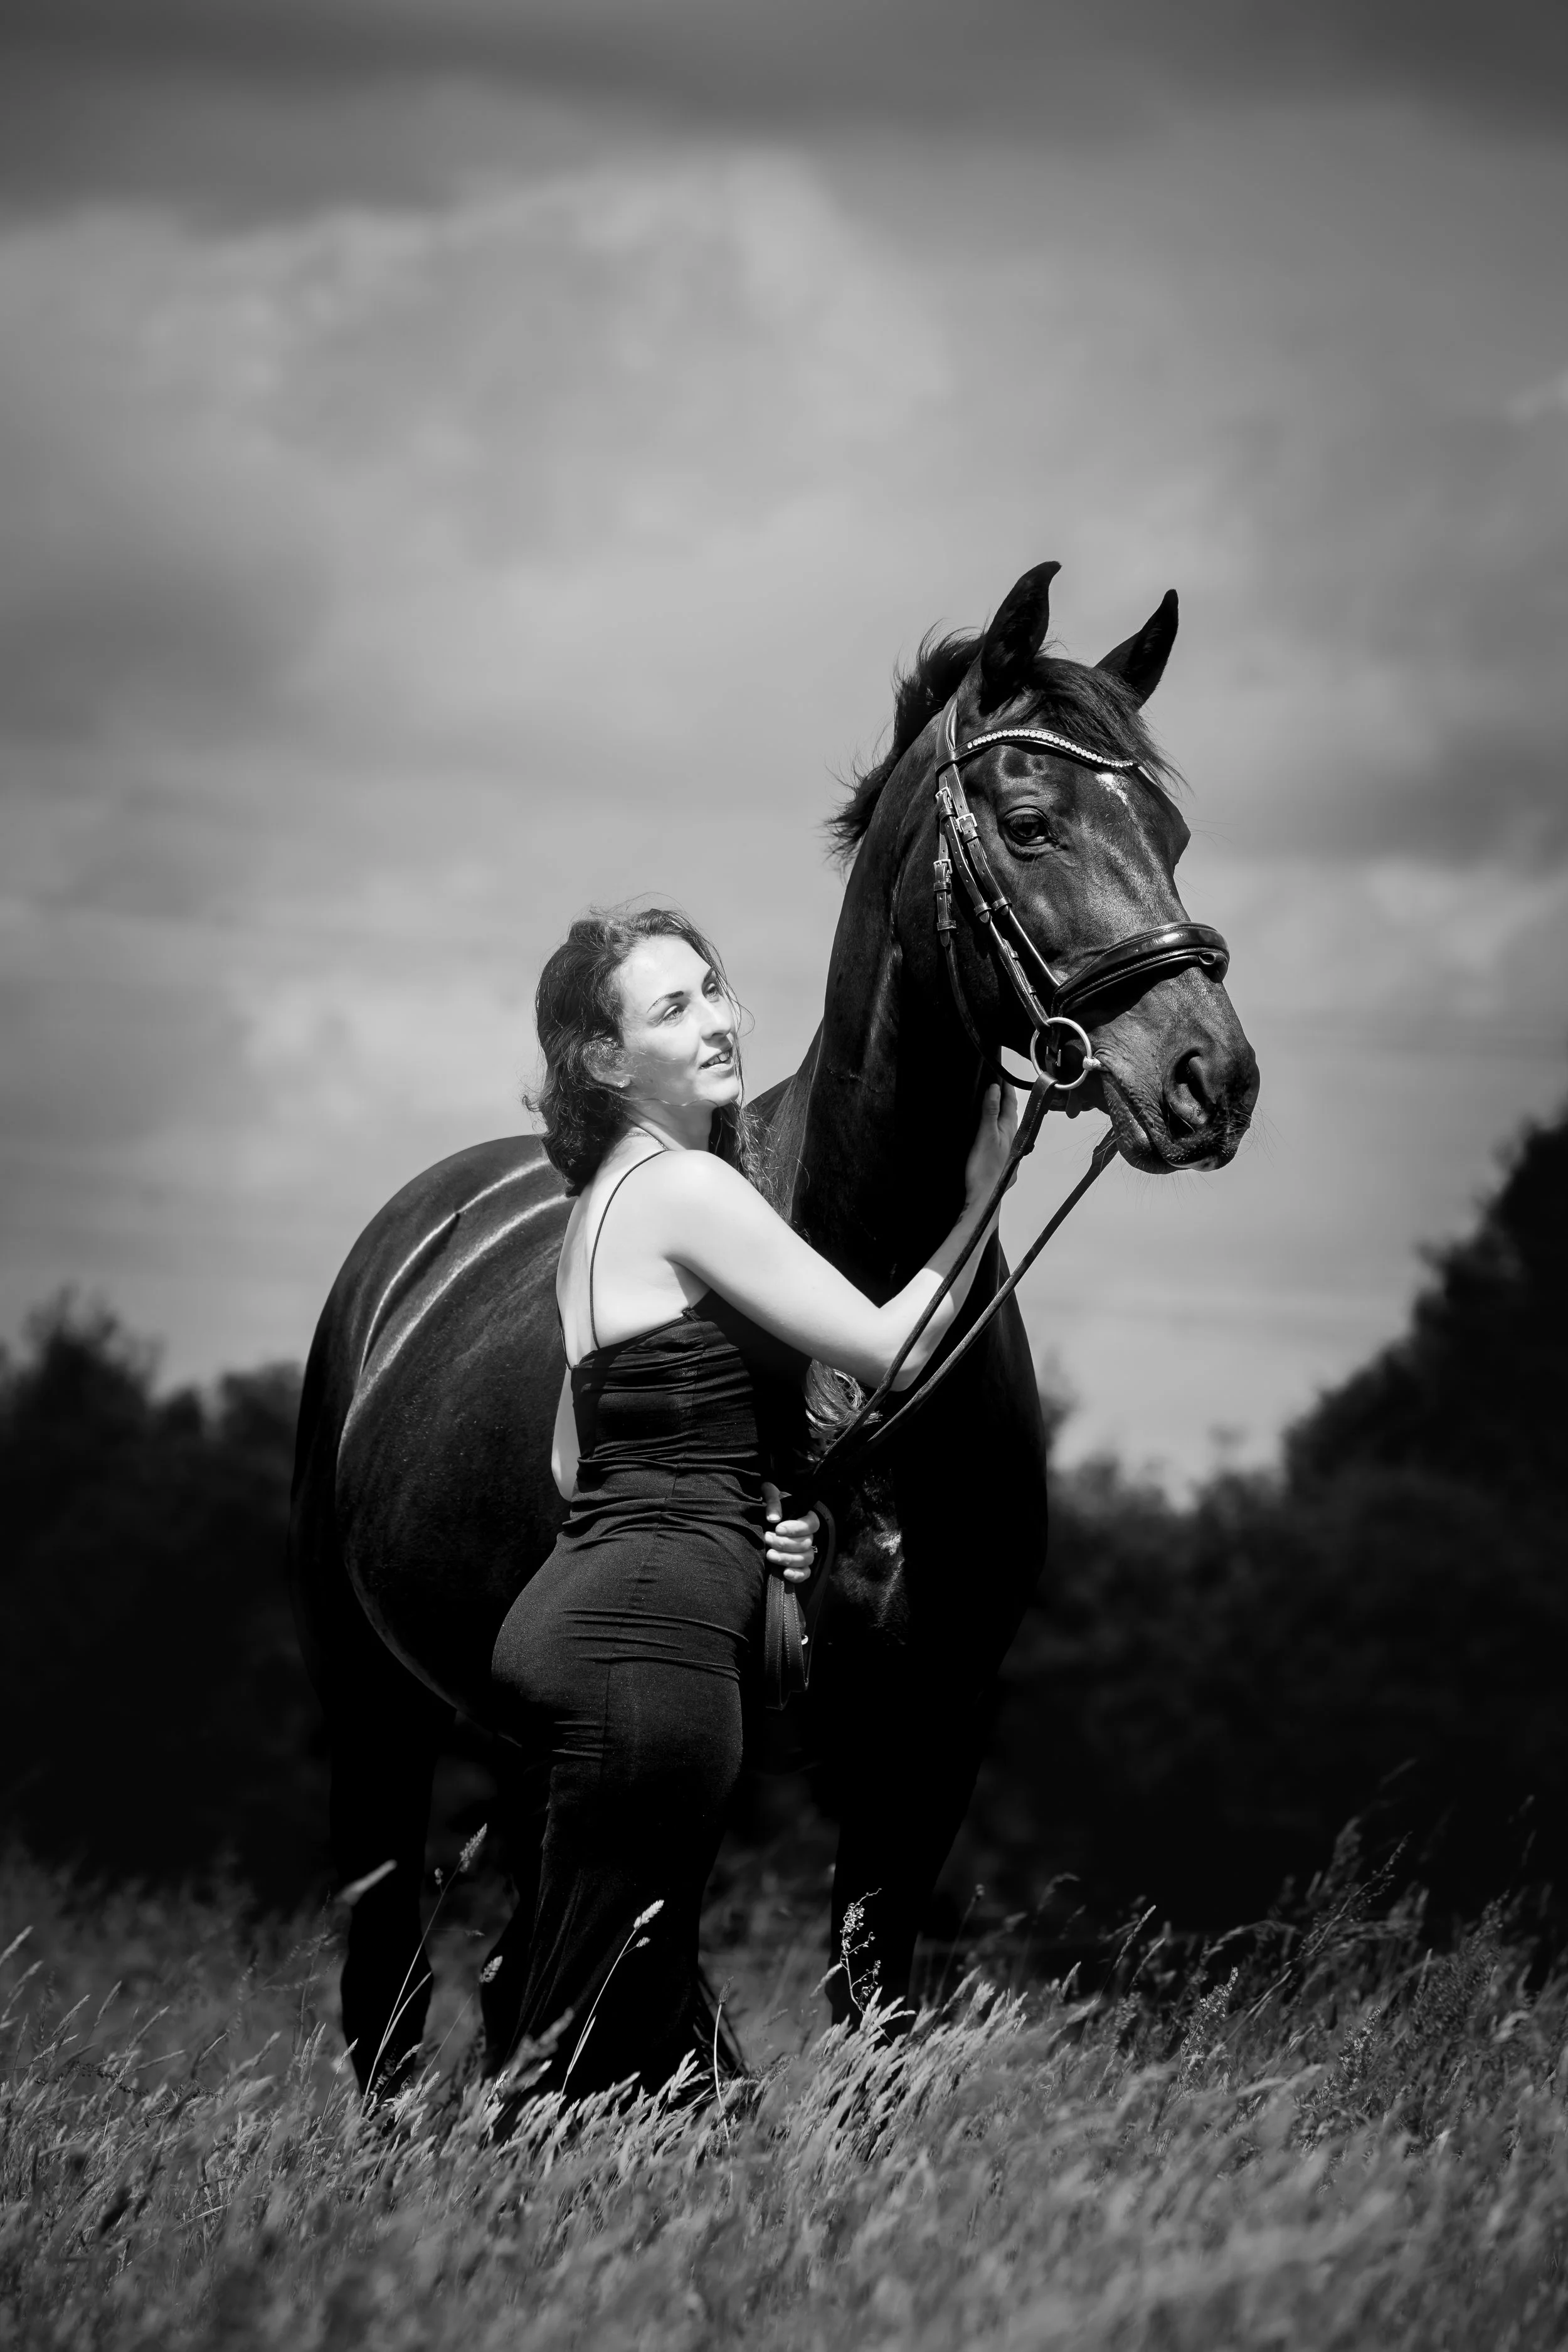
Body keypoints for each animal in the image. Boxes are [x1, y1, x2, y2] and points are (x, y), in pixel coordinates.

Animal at [288, 559, 1260, 2091]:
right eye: (1031, 824)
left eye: (1170, 830)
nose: (1208, 1079)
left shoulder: (928, 1732)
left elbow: (869, 2013)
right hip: (374, 1703)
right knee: (395, 1983)